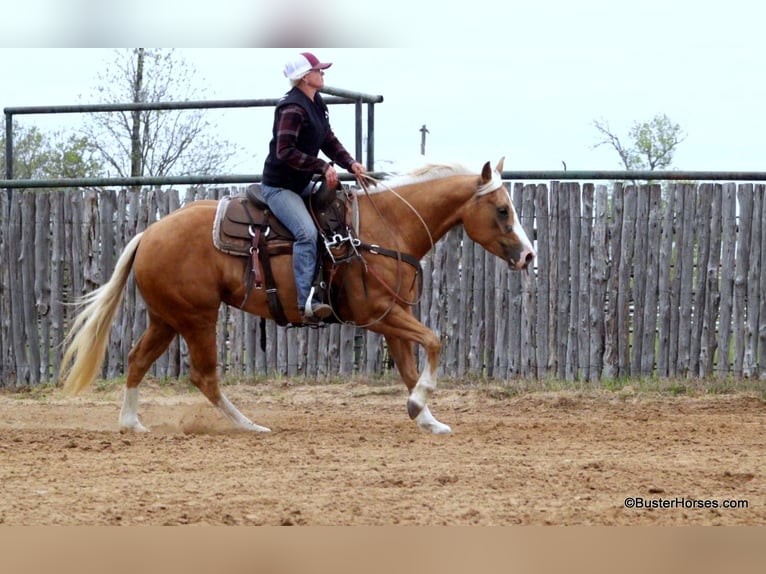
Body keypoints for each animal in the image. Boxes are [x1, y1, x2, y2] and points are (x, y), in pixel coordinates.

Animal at [61, 159, 536, 436]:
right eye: (502, 210)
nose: (528, 254)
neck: (385, 228)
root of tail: (149, 233)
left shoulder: (393, 314)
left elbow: (408, 366)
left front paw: (427, 418)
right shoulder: (374, 314)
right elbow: (436, 341)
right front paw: (420, 405)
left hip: (167, 318)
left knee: (137, 360)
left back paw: (132, 423)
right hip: (197, 318)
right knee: (204, 376)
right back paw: (250, 426)